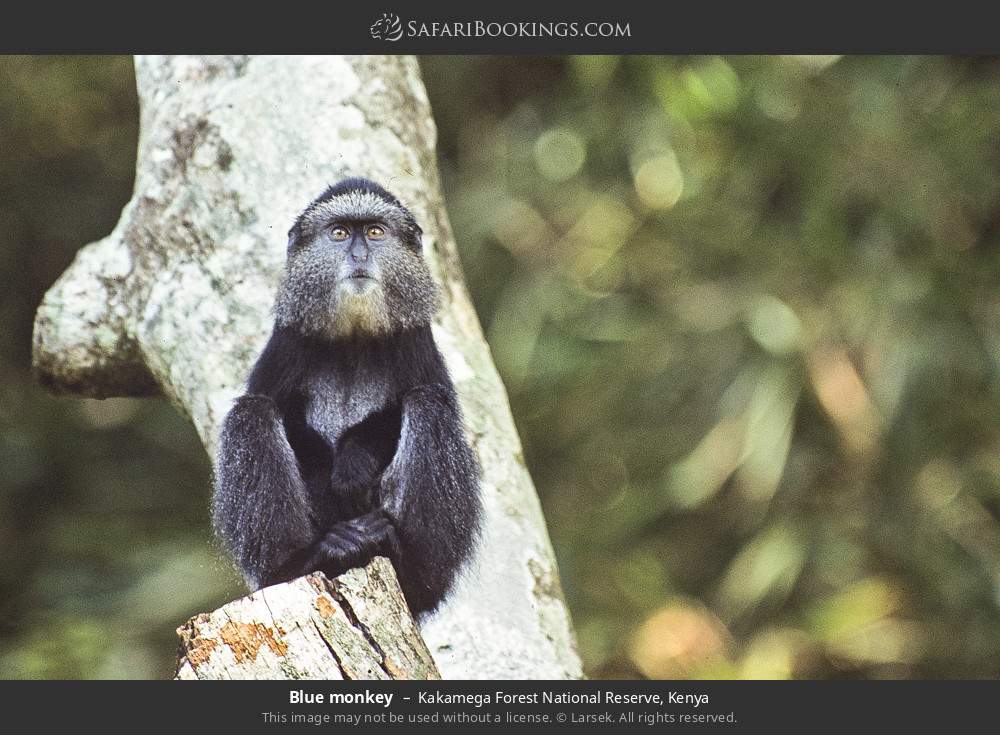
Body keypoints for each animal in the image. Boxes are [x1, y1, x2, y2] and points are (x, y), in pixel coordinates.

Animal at [214, 180, 484, 620]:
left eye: (374, 232)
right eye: (339, 233)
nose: (358, 255)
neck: (353, 336)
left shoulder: (415, 338)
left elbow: (410, 406)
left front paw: (353, 464)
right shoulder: (287, 338)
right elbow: (272, 406)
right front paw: (327, 471)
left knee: (428, 405)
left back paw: (410, 569)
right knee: (251, 414)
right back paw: (305, 560)